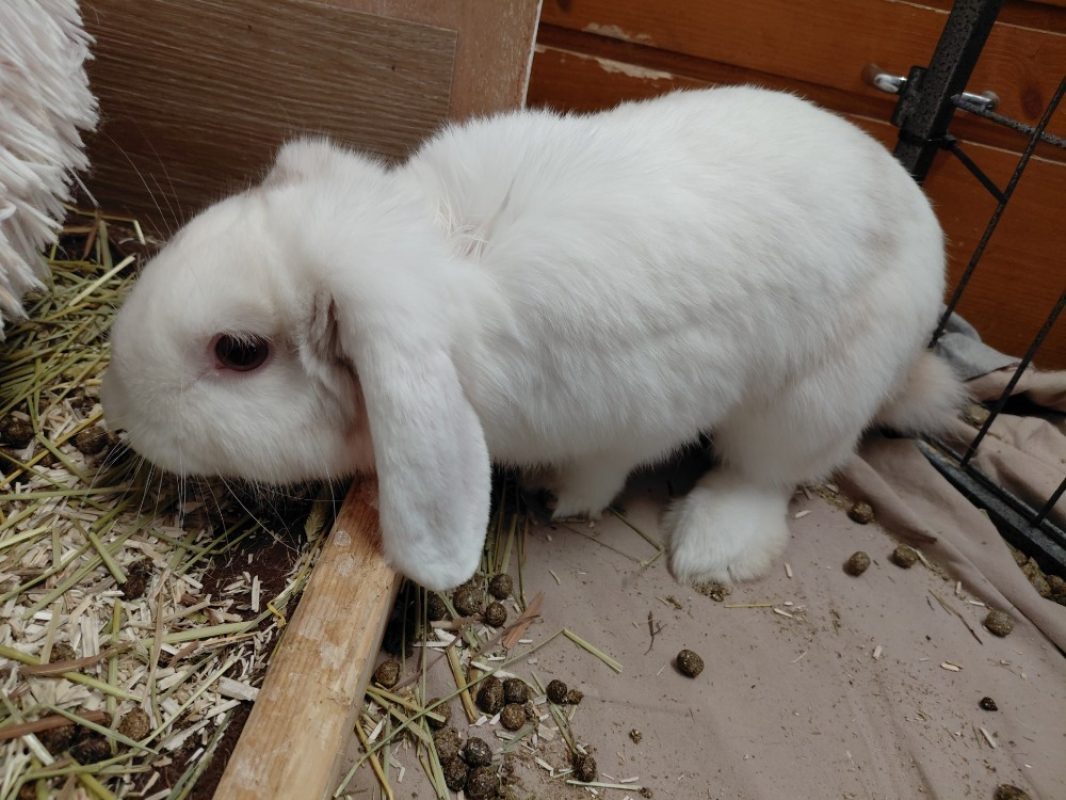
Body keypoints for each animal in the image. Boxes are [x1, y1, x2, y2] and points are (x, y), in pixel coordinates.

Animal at [101, 86, 965, 591]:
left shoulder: (634, 412)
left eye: (238, 352)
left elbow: (604, 470)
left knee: (769, 471)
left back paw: (712, 548)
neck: (445, 250)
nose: (118, 414)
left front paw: (559, 496)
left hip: (811, 399)